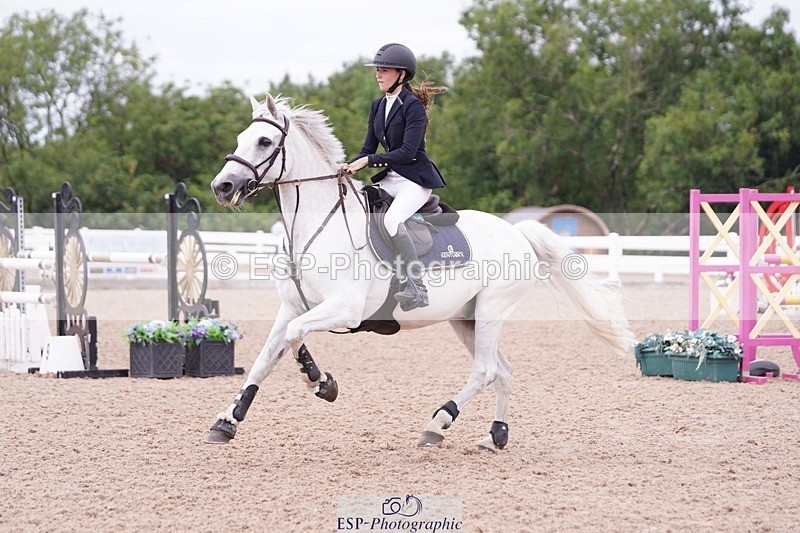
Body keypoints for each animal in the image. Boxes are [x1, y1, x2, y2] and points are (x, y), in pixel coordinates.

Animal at [205, 93, 634, 450]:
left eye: (264, 142)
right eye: (242, 137)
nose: (221, 187)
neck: (317, 225)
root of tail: (518, 231)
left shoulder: (343, 308)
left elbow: (296, 339)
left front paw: (321, 382)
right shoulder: (292, 307)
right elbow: (266, 357)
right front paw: (227, 422)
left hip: (492, 309)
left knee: (484, 370)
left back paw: (437, 424)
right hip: (467, 318)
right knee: (503, 370)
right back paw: (495, 435)